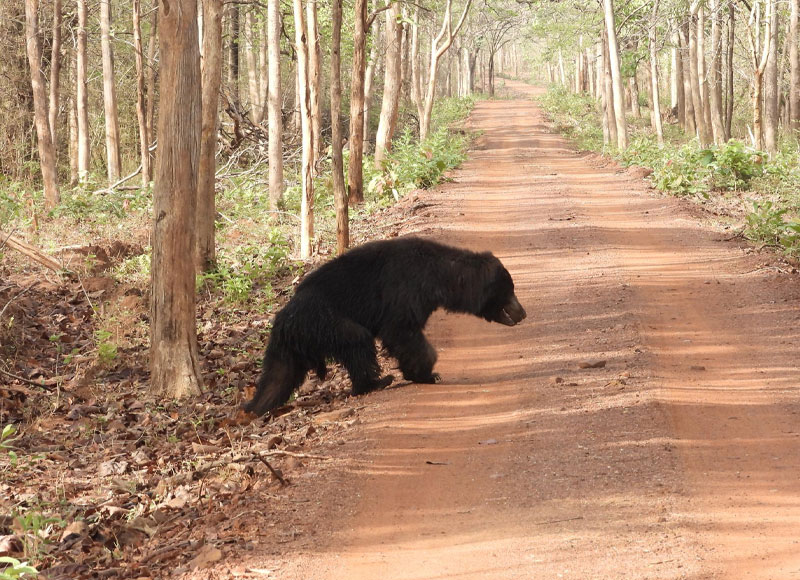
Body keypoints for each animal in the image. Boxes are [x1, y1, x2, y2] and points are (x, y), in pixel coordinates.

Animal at [243, 236, 526, 416]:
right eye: (510, 291)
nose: (523, 313)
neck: (439, 276)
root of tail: (283, 322)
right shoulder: (405, 291)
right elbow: (402, 332)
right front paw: (427, 373)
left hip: (293, 347)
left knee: (278, 377)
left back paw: (254, 408)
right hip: (325, 321)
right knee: (357, 342)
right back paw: (377, 382)